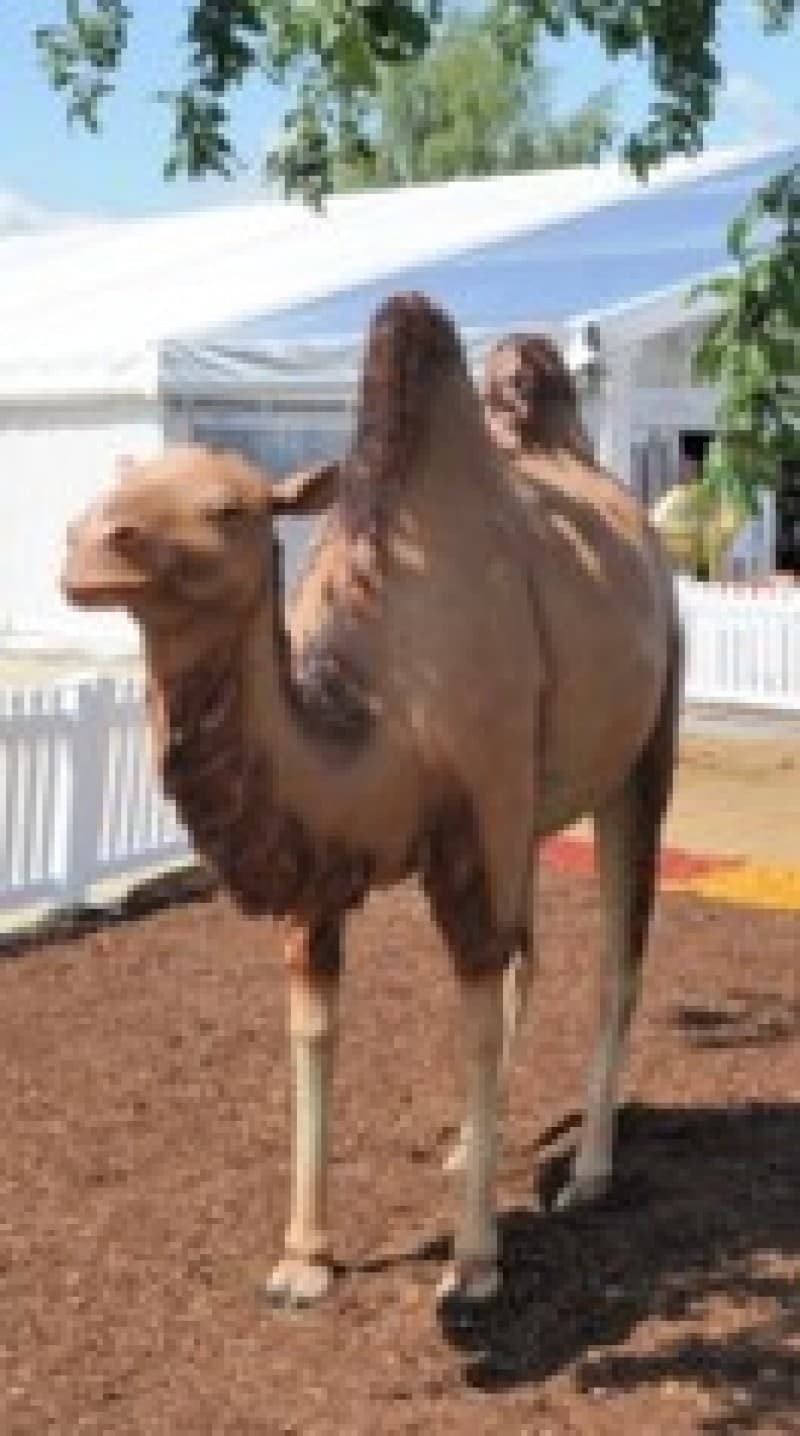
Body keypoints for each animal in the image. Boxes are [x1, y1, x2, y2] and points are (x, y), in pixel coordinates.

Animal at [61, 295, 680, 1317]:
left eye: (229, 507)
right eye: (127, 482)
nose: (84, 547)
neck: (382, 711)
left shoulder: (477, 817)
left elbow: (472, 1018)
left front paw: (474, 1263)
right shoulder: (326, 866)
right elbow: (316, 1026)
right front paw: (303, 1259)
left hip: (642, 749)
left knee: (615, 958)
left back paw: (589, 1172)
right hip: (531, 811)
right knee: (535, 953)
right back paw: (473, 1146)